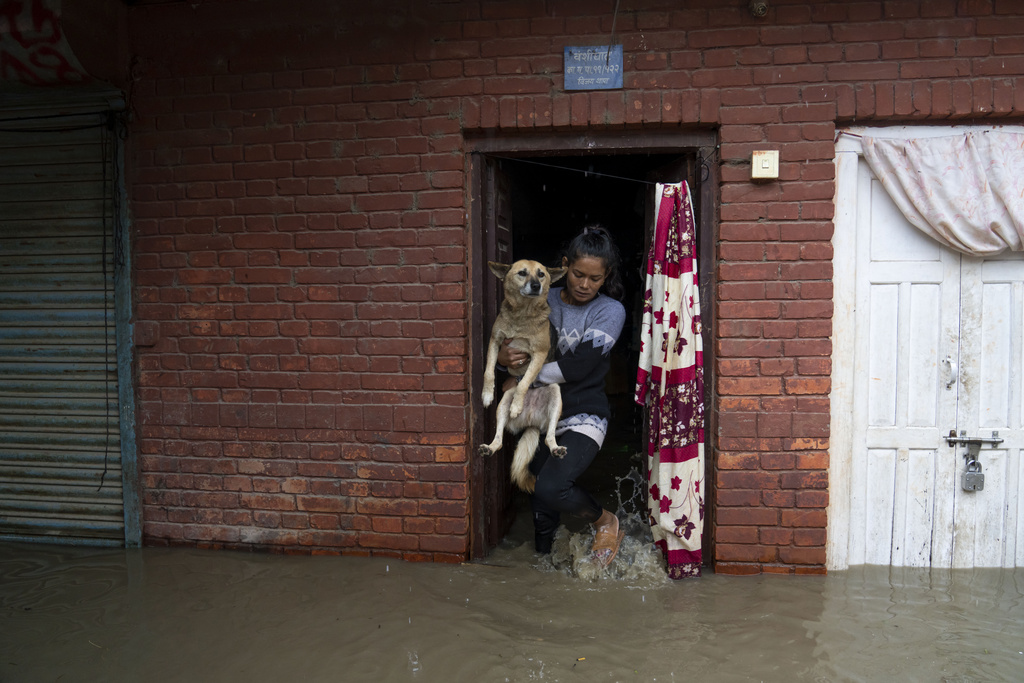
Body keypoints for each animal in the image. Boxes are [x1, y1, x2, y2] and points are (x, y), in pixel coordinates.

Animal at [479, 260, 569, 491]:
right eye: (522, 273)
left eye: (541, 274)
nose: (536, 286)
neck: (523, 314)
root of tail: (532, 422)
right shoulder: (495, 342)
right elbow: (488, 371)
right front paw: (486, 394)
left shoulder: (538, 354)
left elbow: (524, 382)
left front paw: (517, 406)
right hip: (503, 403)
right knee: (499, 439)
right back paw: (488, 448)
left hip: (555, 395)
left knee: (549, 438)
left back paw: (556, 448)